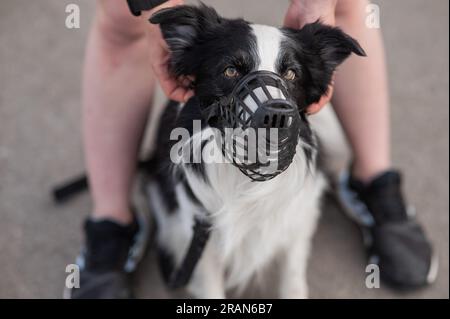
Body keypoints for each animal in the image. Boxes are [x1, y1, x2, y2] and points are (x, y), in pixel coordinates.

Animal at [148, 3, 366, 298]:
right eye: (231, 70)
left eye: (291, 74)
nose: (277, 116)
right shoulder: (201, 240)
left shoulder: (295, 225)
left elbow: (293, 281)